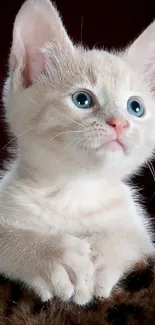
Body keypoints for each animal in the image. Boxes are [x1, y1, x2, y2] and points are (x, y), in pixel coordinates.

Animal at [0, 0, 155, 304]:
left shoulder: (142, 235)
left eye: (136, 107)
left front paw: (102, 256)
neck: (74, 190)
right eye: (82, 99)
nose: (120, 123)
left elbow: (132, 237)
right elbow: (7, 236)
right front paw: (50, 256)